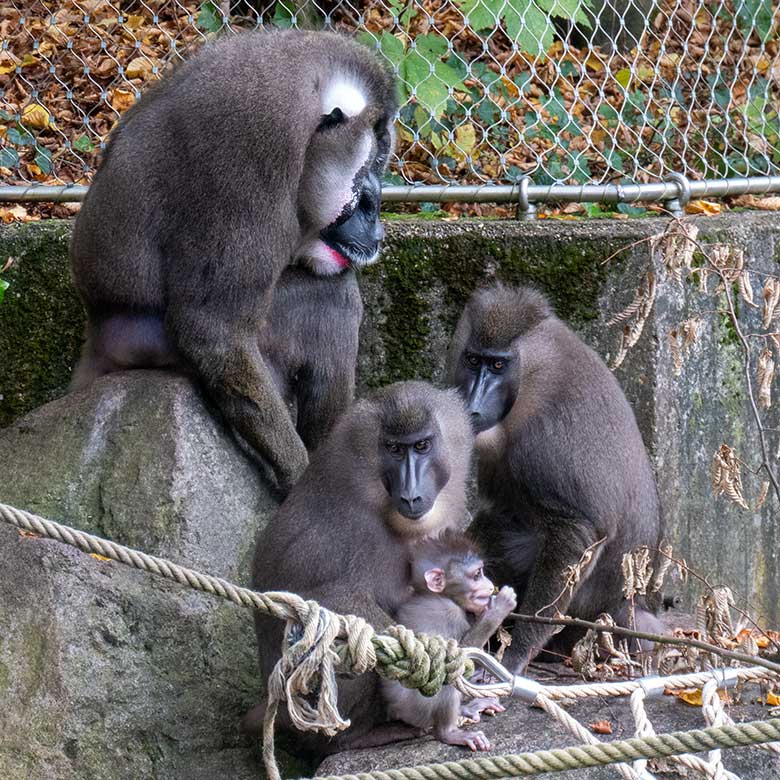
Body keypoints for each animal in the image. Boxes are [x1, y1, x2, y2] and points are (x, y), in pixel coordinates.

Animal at [250, 380, 472, 752]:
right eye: (394, 449)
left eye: (422, 446)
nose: (411, 495)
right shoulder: (352, 530)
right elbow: (315, 602)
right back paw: (362, 737)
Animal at [380, 532, 516, 748]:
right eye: (477, 575)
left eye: (482, 572)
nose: (489, 584)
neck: (439, 596)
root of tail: (396, 711)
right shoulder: (448, 612)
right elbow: (457, 656)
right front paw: (498, 609)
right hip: (418, 709)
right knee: (447, 671)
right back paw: (448, 733)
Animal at [448, 284, 660, 672]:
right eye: (473, 360)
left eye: (498, 365)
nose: (472, 404)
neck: (536, 371)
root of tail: (627, 609)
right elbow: (498, 511)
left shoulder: (546, 444)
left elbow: (576, 534)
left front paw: (516, 654)